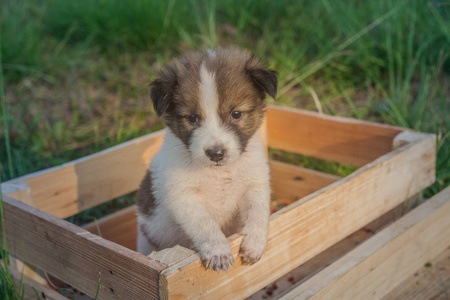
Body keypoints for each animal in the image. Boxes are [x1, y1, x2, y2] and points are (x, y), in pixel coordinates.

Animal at [136, 47, 278, 272]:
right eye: (192, 118)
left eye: (236, 114)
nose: (216, 153)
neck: (219, 173)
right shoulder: (182, 196)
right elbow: (205, 224)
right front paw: (219, 251)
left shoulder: (254, 184)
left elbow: (258, 212)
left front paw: (255, 244)